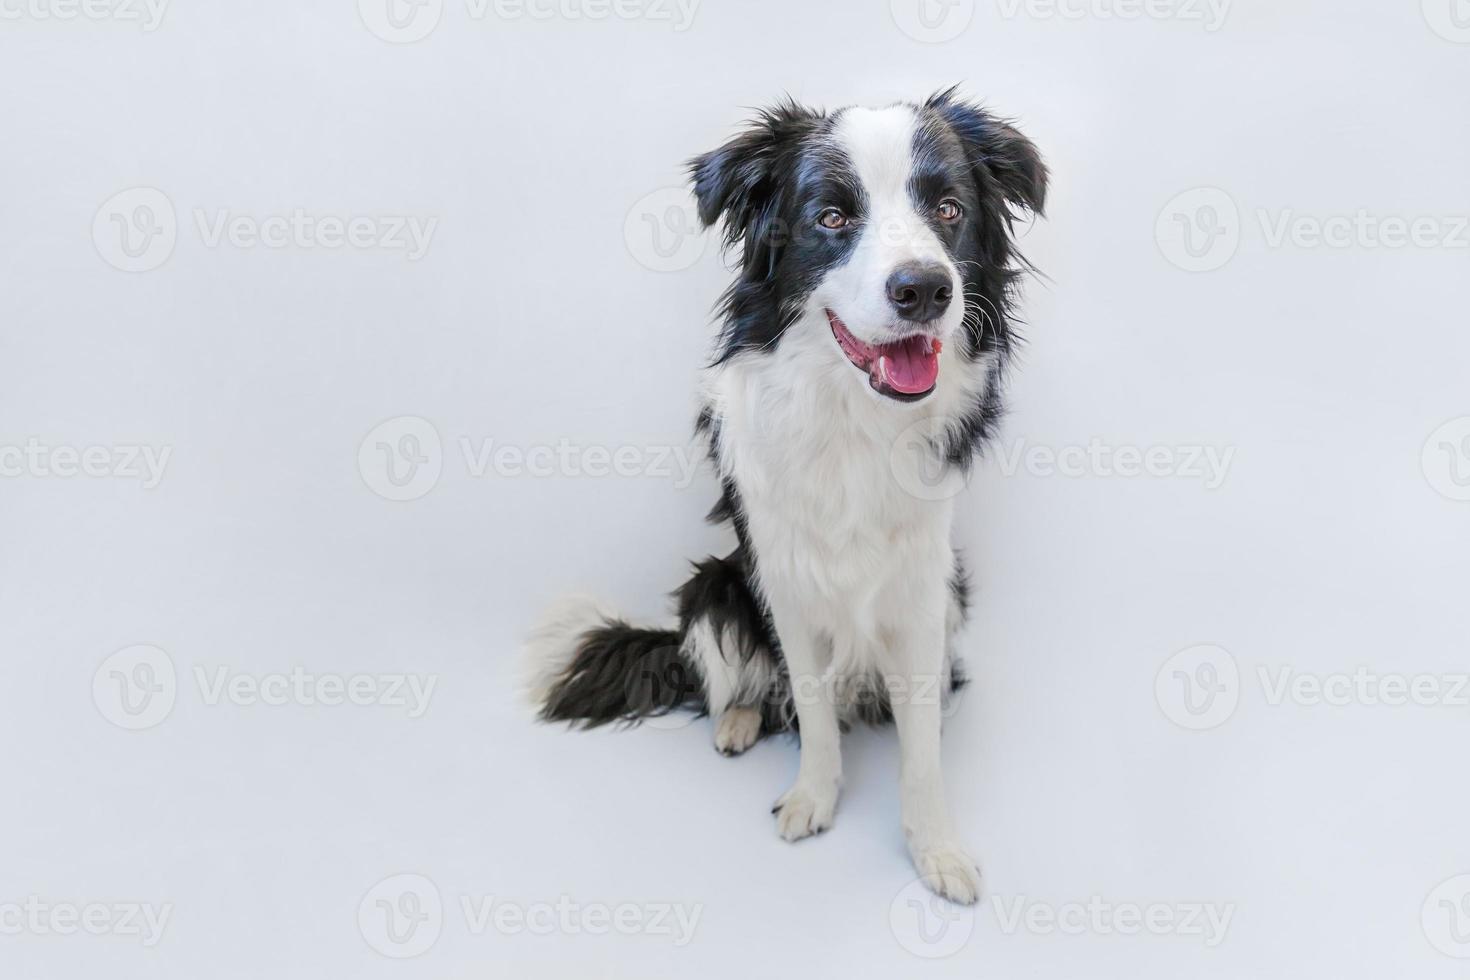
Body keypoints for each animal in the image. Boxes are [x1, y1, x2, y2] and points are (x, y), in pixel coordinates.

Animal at [526, 91, 1046, 905]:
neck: (856, 418)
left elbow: (920, 749)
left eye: (950, 209)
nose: (925, 289)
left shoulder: (923, 590)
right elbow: (811, 707)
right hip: (714, 586)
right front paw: (813, 797)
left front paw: (935, 848)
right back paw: (737, 723)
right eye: (831, 216)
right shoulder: (786, 582)